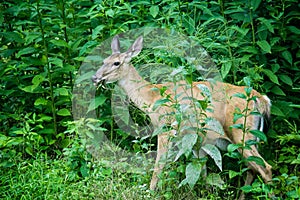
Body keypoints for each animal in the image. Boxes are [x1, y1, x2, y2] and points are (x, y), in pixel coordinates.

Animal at [91, 34, 272, 198]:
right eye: (104, 61)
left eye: (116, 62)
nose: (95, 77)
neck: (151, 97)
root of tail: (262, 99)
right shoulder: (198, 139)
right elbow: (201, 172)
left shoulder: (165, 127)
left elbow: (159, 164)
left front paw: (151, 191)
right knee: (252, 169)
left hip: (241, 132)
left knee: (266, 168)